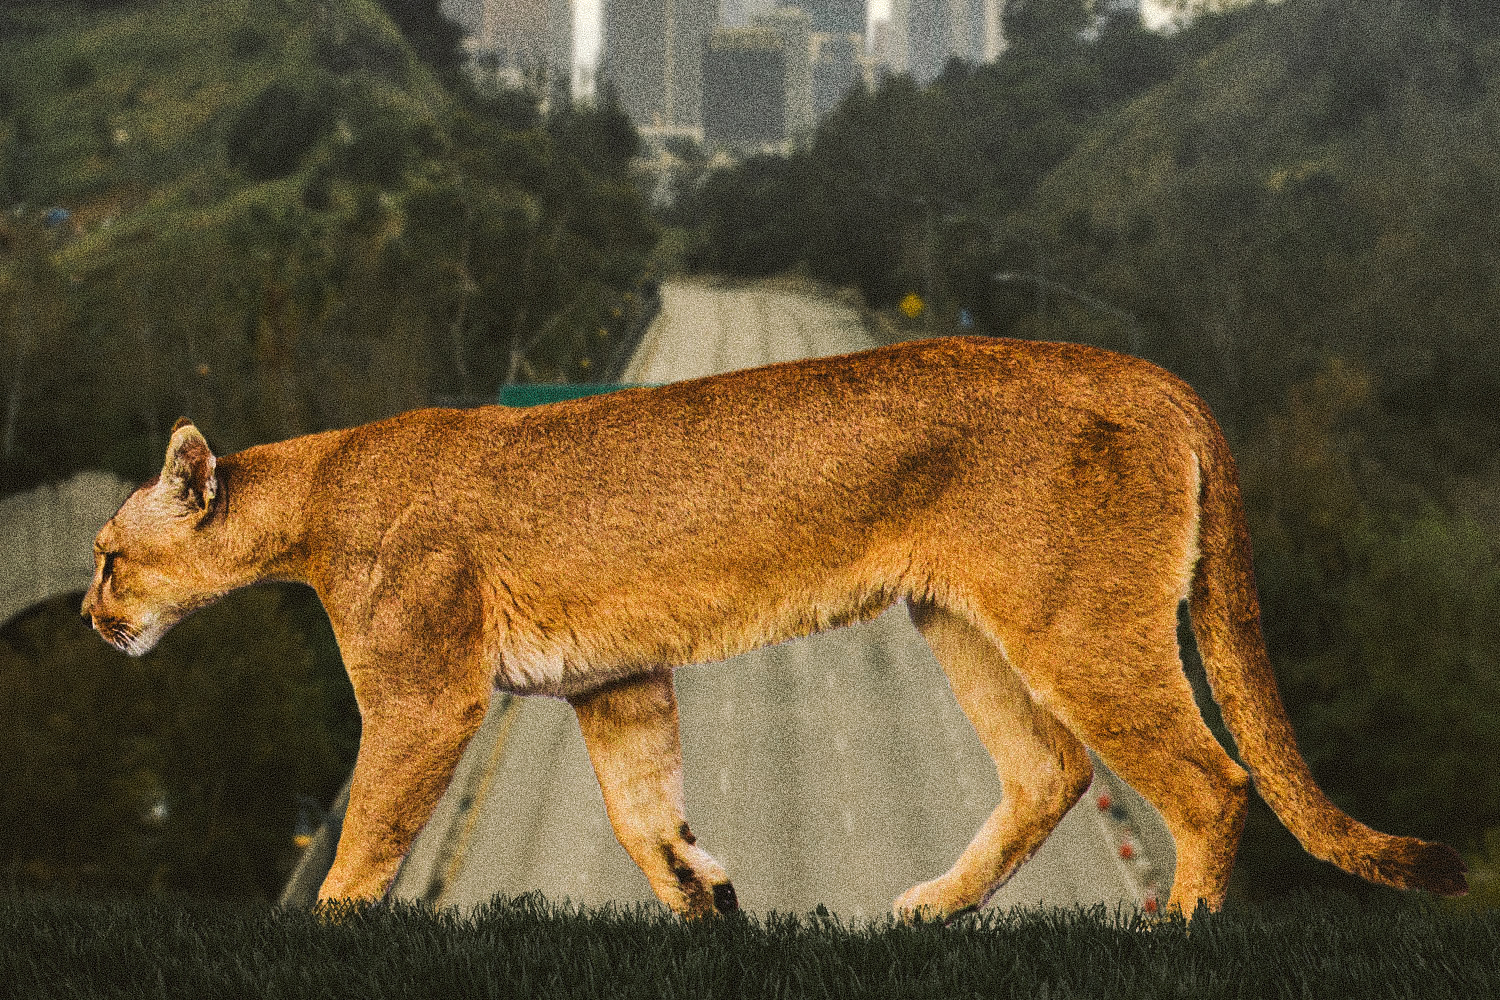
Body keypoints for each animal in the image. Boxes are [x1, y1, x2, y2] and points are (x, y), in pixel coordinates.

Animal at [82, 336, 1466, 920]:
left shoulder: (426, 698)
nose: (92, 615)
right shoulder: (619, 682)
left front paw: (323, 934)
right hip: (961, 619)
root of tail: (1158, 374)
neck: (309, 497)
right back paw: (922, 913)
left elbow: (366, 835)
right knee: (1051, 770)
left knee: (1210, 778)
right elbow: (643, 816)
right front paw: (713, 904)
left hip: (1077, 620)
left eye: (105, 555)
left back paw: (1172, 936)